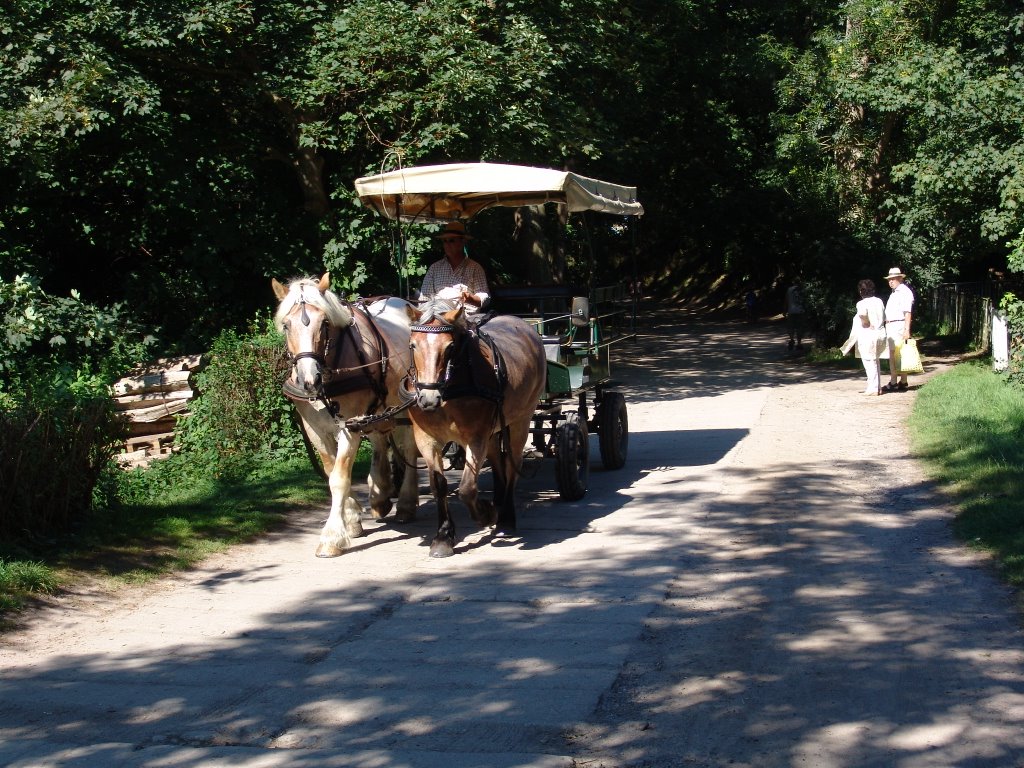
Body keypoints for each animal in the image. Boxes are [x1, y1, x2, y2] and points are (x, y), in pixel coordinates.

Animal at [272, 274, 419, 557]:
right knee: (380, 442)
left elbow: (339, 478)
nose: (309, 380)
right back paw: (380, 494)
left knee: (408, 448)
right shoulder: (315, 429)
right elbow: (331, 472)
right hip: (378, 411)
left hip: (405, 405)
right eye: (286, 325)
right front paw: (351, 519)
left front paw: (331, 537)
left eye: (324, 323)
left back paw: (406, 503)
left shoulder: (349, 426)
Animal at [403, 296, 548, 557]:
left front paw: (486, 513)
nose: (428, 399)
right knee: (499, 461)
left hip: (521, 420)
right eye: (413, 345)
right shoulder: (426, 439)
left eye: (450, 347)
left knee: (513, 464)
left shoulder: (476, 437)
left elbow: (467, 488)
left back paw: (506, 517)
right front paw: (443, 536)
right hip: (495, 428)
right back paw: (499, 501)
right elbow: (439, 485)